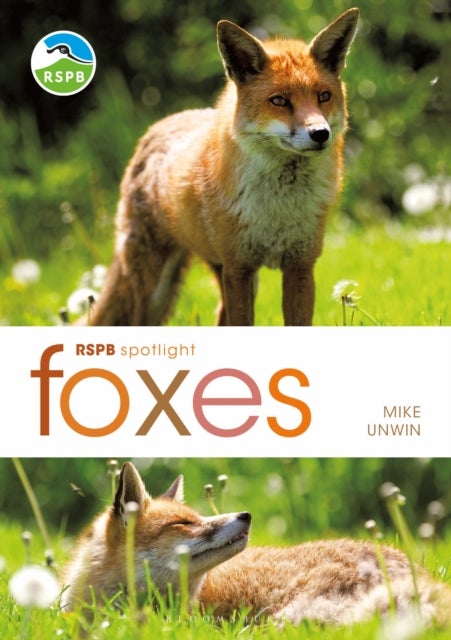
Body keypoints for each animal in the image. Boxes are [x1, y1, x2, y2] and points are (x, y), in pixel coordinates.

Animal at [87, 9, 360, 326]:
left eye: (323, 96)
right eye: (279, 100)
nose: (320, 133)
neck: (277, 208)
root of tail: (157, 127)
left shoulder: (300, 266)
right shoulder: (239, 267)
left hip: (223, 273)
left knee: (219, 316)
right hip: (157, 288)